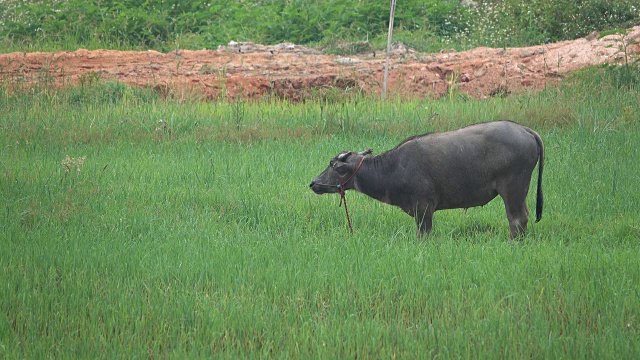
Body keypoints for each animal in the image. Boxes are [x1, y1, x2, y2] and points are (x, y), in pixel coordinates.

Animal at [310, 121, 544, 239]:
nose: (313, 183)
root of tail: (525, 130)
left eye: (333, 166)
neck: (392, 168)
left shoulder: (424, 208)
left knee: (517, 219)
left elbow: (424, 233)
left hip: (513, 189)